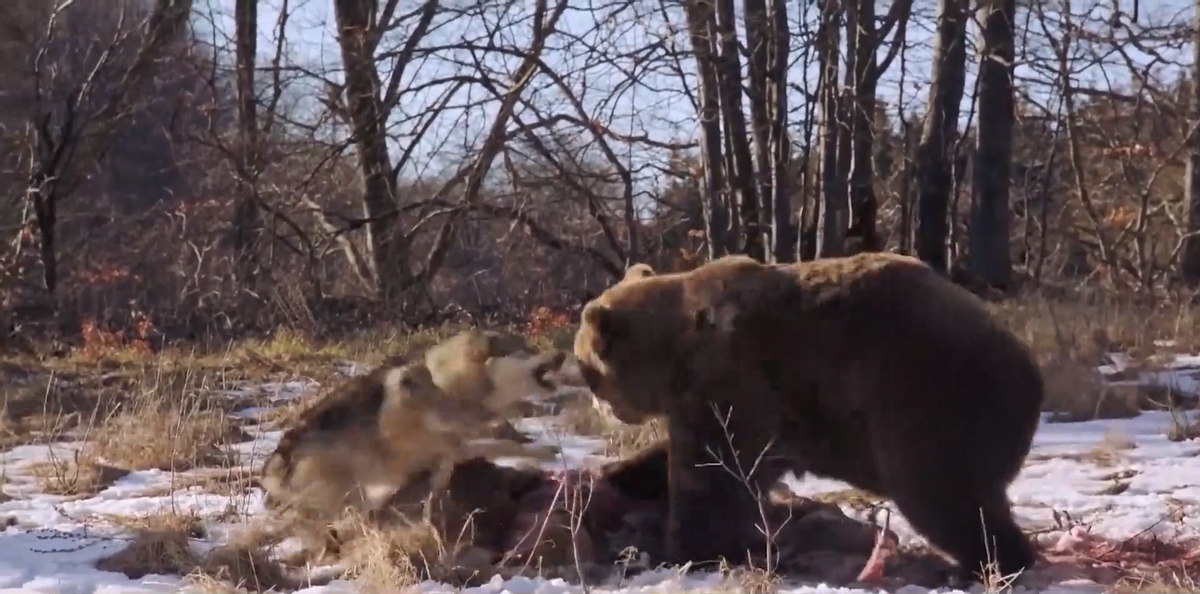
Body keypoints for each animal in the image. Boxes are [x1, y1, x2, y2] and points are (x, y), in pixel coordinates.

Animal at [571, 252, 1041, 580]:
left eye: (587, 372)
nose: (601, 408)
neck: (675, 354)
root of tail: (1029, 366)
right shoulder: (772, 413)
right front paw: (618, 473)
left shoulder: (734, 381)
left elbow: (710, 476)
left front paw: (687, 552)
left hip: (927, 396)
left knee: (943, 494)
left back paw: (989, 562)